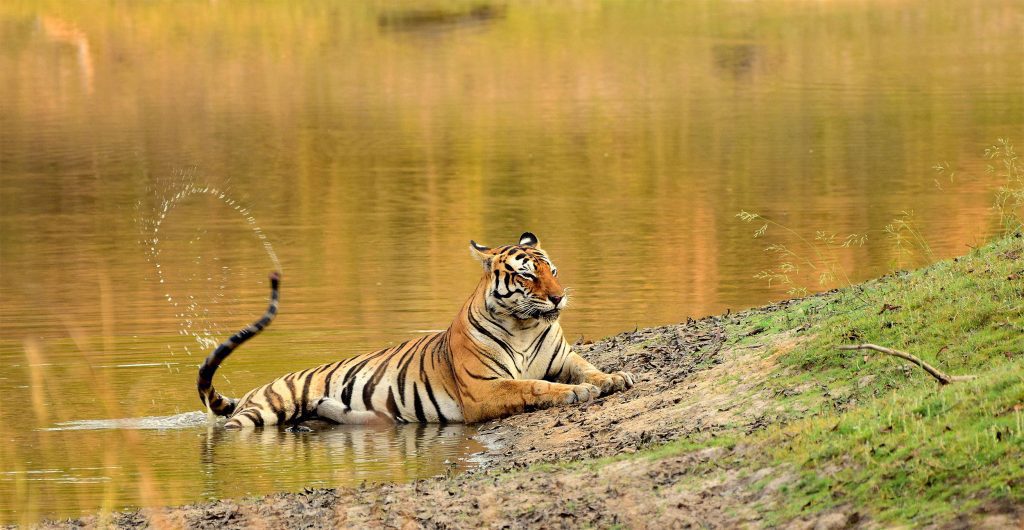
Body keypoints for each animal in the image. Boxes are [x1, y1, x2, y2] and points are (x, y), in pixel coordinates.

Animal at [195, 231, 634, 427]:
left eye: (552, 271)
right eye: (527, 275)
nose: (559, 298)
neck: (524, 325)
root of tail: (253, 391)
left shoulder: (563, 358)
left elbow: (588, 367)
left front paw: (615, 378)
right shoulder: (483, 388)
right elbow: (532, 386)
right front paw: (576, 393)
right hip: (264, 412)